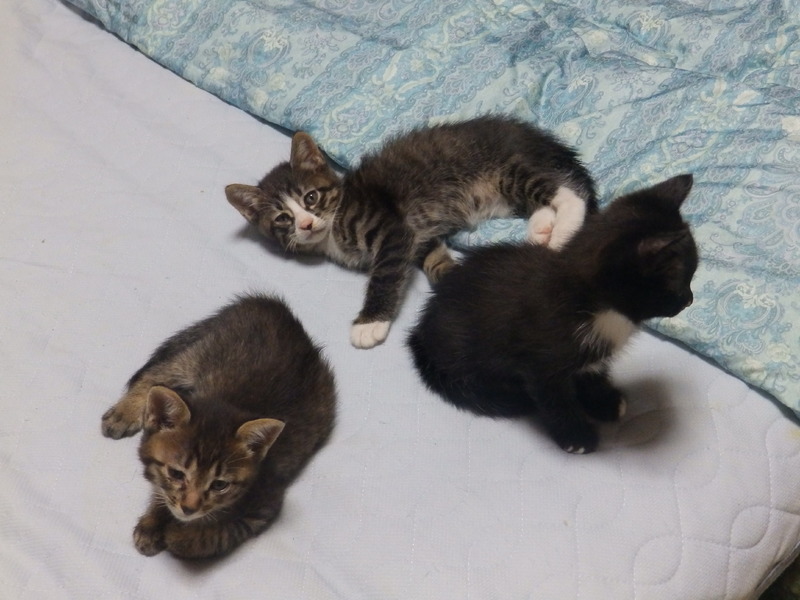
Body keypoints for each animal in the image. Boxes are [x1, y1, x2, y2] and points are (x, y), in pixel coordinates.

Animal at [101, 294, 336, 559]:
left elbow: (214, 534)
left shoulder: (262, 504)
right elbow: (163, 490)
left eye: (219, 485)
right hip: (195, 357)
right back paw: (124, 413)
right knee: (154, 376)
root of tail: (275, 307)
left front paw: (174, 532)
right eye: (177, 474)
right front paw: (155, 520)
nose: (189, 508)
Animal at [225, 115, 597, 349]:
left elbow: (385, 277)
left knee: (569, 191)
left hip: (507, 169)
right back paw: (543, 229)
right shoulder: (416, 235)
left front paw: (369, 323)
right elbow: (433, 257)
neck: (332, 229)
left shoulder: (392, 229)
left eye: (311, 198)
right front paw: (456, 278)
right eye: (283, 218)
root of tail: (533, 135)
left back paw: (564, 228)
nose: (305, 224)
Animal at [407, 174, 698, 454]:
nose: (690, 300)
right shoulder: (539, 362)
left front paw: (604, 401)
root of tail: (420, 329)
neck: (598, 309)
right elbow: (555, 401)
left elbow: (592, 371)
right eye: (680, 283)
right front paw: (576, 436)